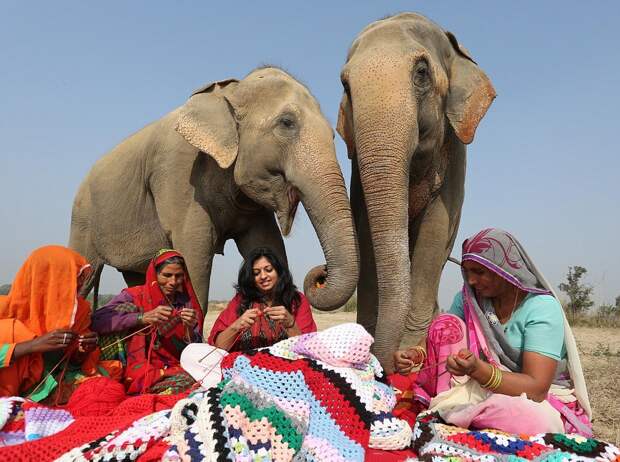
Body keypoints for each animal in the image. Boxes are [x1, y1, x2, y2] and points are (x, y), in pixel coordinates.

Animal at [69, 67, 358, 324]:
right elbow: (195, 251)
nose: (321, 272)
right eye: (287, 123)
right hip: (83, 219)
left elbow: (267, 243)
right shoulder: (179, 174)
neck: (231, 92)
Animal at [336, 12, 496, 370]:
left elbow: (434, 232)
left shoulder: (455, 157)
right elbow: (366, 231)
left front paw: (413, 354)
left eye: (421, 72)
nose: (390, 362)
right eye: (345, 86)